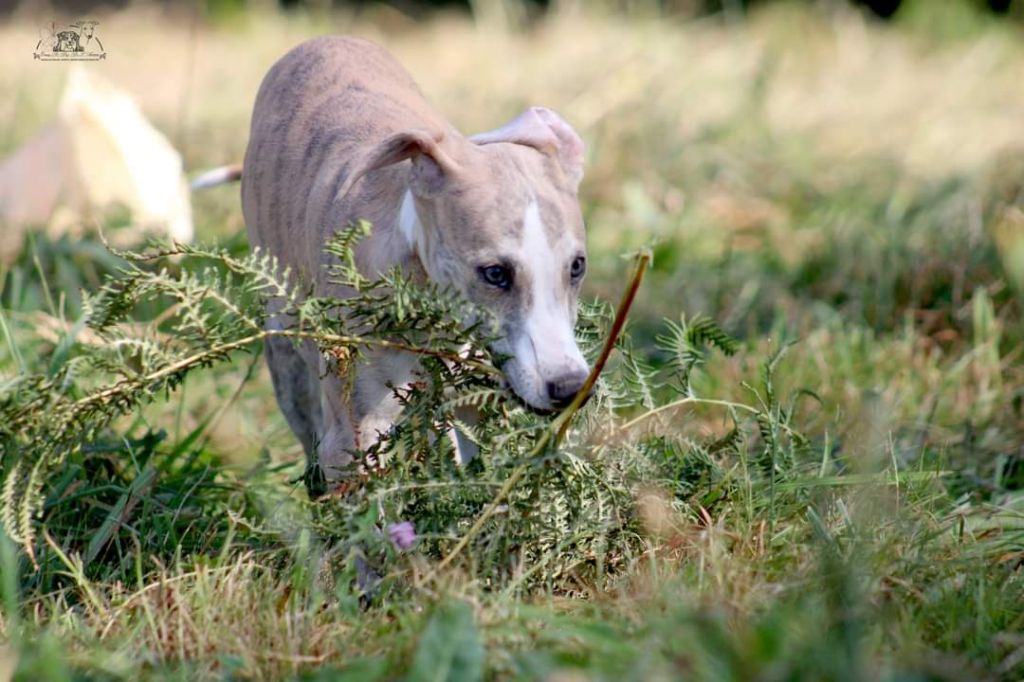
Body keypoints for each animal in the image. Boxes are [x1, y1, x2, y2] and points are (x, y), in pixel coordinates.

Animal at [202, 37, 589, 481]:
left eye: (577, 266)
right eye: (494, 273)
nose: (570, 388)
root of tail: (322, 40)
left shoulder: (477, 400)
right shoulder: (353, 438)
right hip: (288, 357)